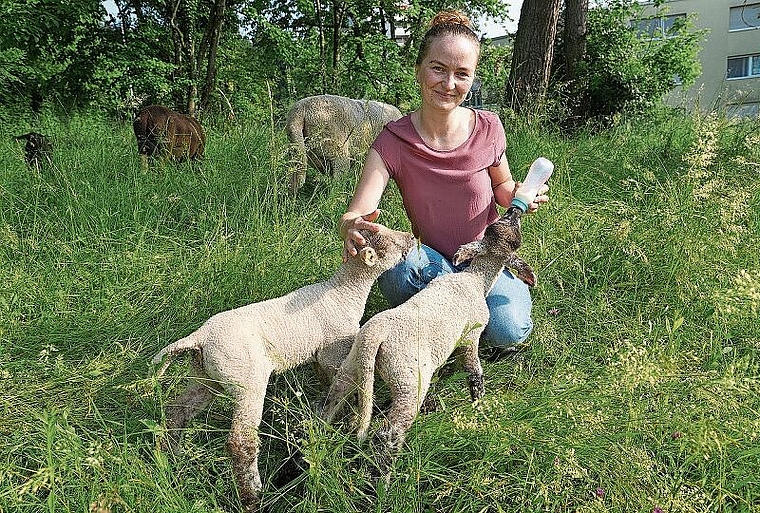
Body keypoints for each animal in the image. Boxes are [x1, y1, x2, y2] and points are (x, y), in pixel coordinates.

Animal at [150, 222, 416, 506]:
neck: (344, 293)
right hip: (247, 379)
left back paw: (171, 459)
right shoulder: (335, 351)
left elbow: (328, 386)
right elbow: (346, 389)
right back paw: (253, 495)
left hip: (206, 377)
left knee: (178, 410)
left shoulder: (320, 356)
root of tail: (199, 338)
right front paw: (350, 416)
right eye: (390, 240)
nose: (412, 236)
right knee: (240, 440)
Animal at [322, 206, 540, 478]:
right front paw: (478, 403)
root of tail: (375, 337)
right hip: (407, 382)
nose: (513, 210)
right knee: (388, 434)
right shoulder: (471, 335)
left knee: (331, 401)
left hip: (352, 364)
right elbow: (474, 371)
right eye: (515, 241)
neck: (476, 279)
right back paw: (384, 480)